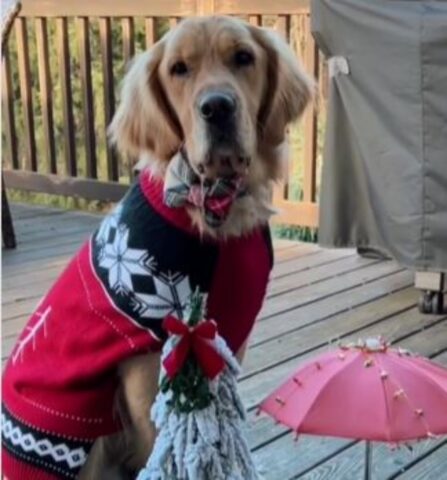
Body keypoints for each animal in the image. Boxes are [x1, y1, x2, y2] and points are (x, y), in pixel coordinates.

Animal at [0, 15, 312, 480]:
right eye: (179, 69)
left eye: (243, 57)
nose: (217, 107)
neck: (209, 204)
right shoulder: (148, 368)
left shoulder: (226, 343)